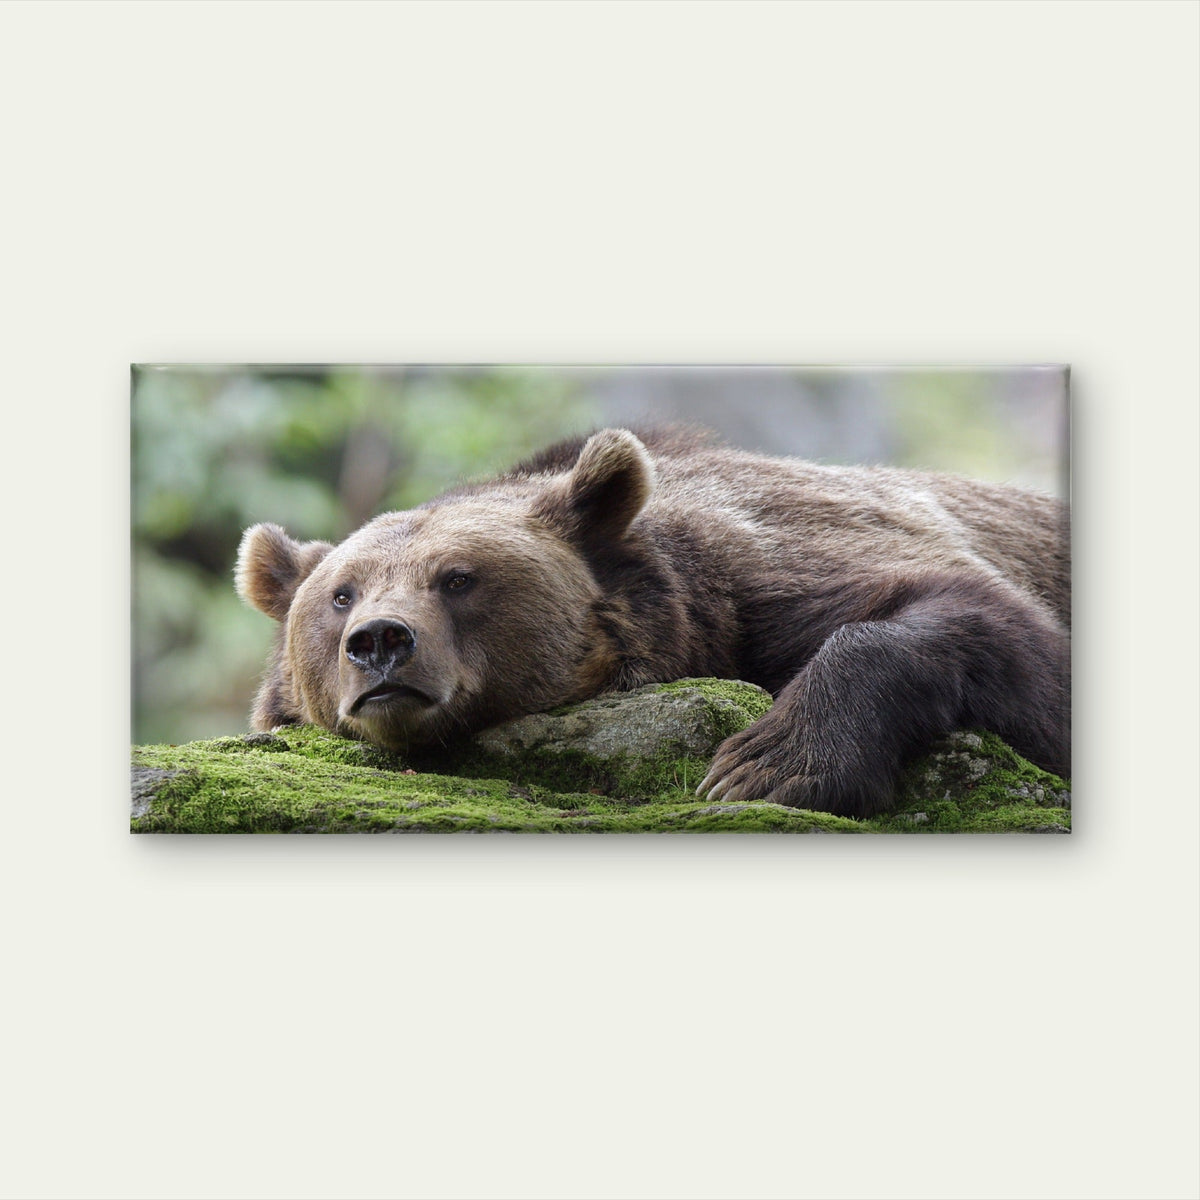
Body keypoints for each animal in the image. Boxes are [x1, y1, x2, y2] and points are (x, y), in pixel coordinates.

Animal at [235, 426, 1070, 818]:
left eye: (459, 578)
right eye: (342, 594)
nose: (381, 643)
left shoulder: (766, 573)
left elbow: (988, 623)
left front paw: (766, 764)